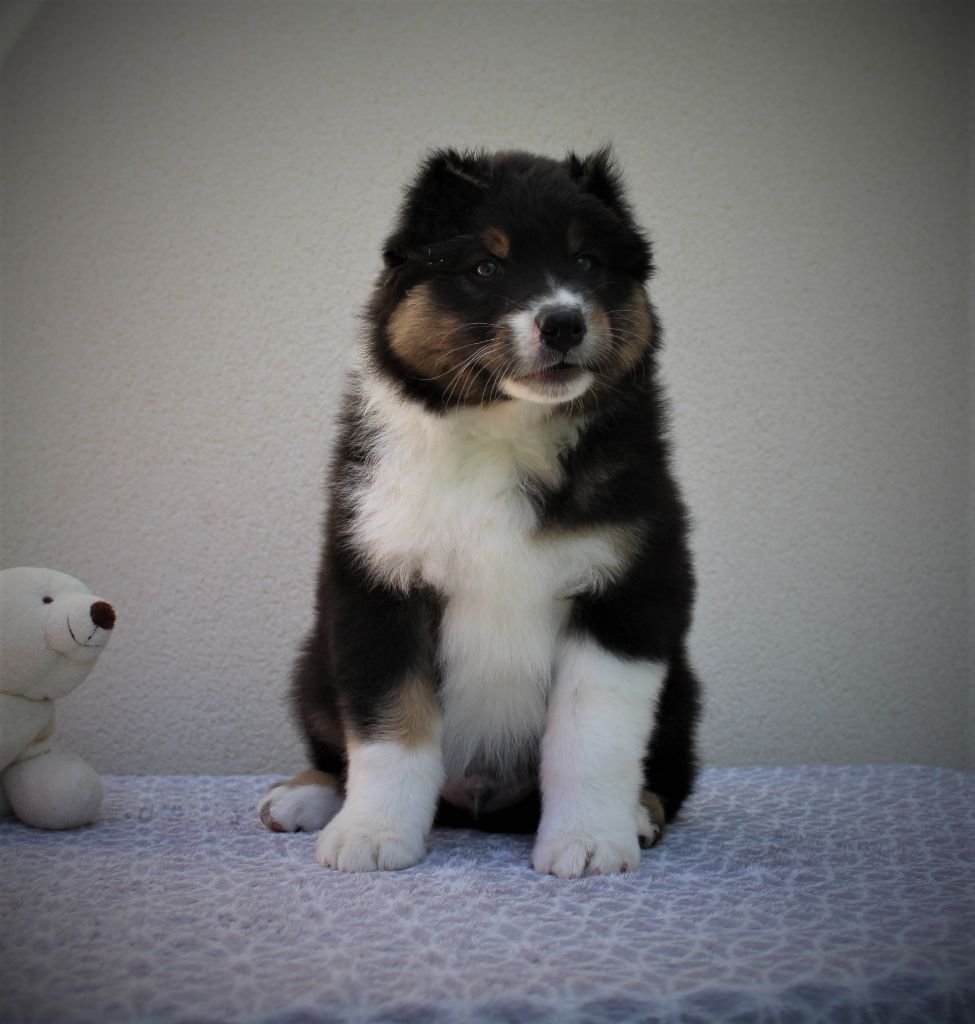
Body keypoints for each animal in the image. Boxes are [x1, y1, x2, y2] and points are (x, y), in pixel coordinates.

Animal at [258, 147, 701, 877]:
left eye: (588, 263)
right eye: (485, 267)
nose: (563, 322)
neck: (504, 430)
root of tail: (479, 804)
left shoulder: (630, 594)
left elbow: (592, 735)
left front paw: (587, 841)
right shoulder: (377, 587)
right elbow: (389, 728)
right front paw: (373, 834)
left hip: (683, 687)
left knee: (670, 774)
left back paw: (638, 813)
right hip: (315, 668)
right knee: (334, 747)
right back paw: (304, 795)